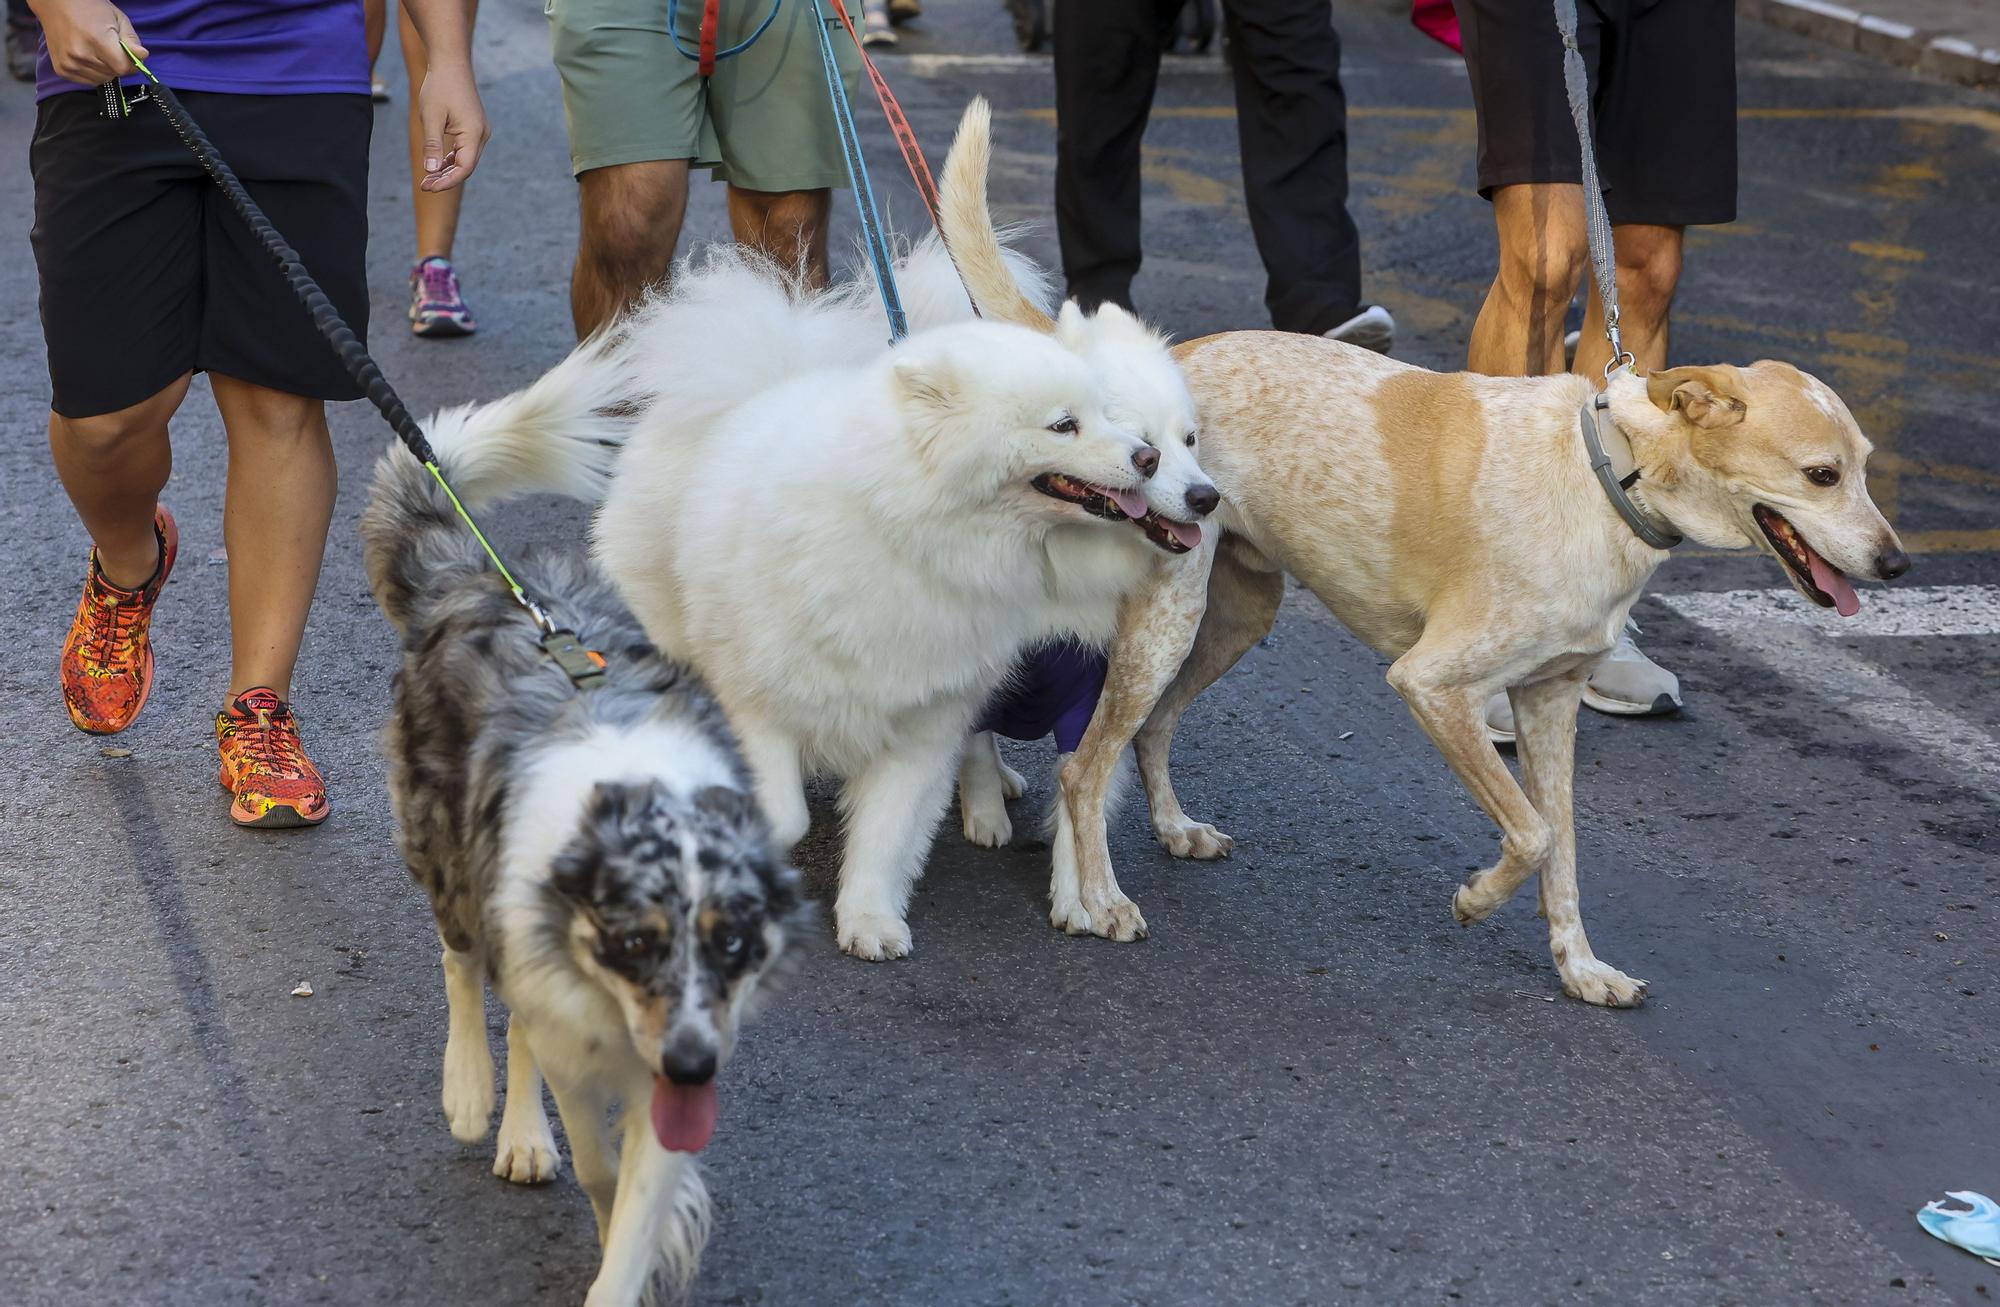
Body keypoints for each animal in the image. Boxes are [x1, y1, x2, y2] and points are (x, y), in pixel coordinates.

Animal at [936, 107, 1904, 1007]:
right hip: (1168, 623)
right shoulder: (1433, 683)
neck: (1605, 475)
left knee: (1152, 730)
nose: (1895, 566)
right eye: (1821, 475)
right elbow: (1532, 833)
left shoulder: (1553, 701)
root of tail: (1137, 374)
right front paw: (1477, 898)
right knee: (1083, 764)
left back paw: (1172, 829)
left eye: (1865, 466)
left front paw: (1580, 967)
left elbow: (1565, 849)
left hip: (1234, 616)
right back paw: (1097, 899)